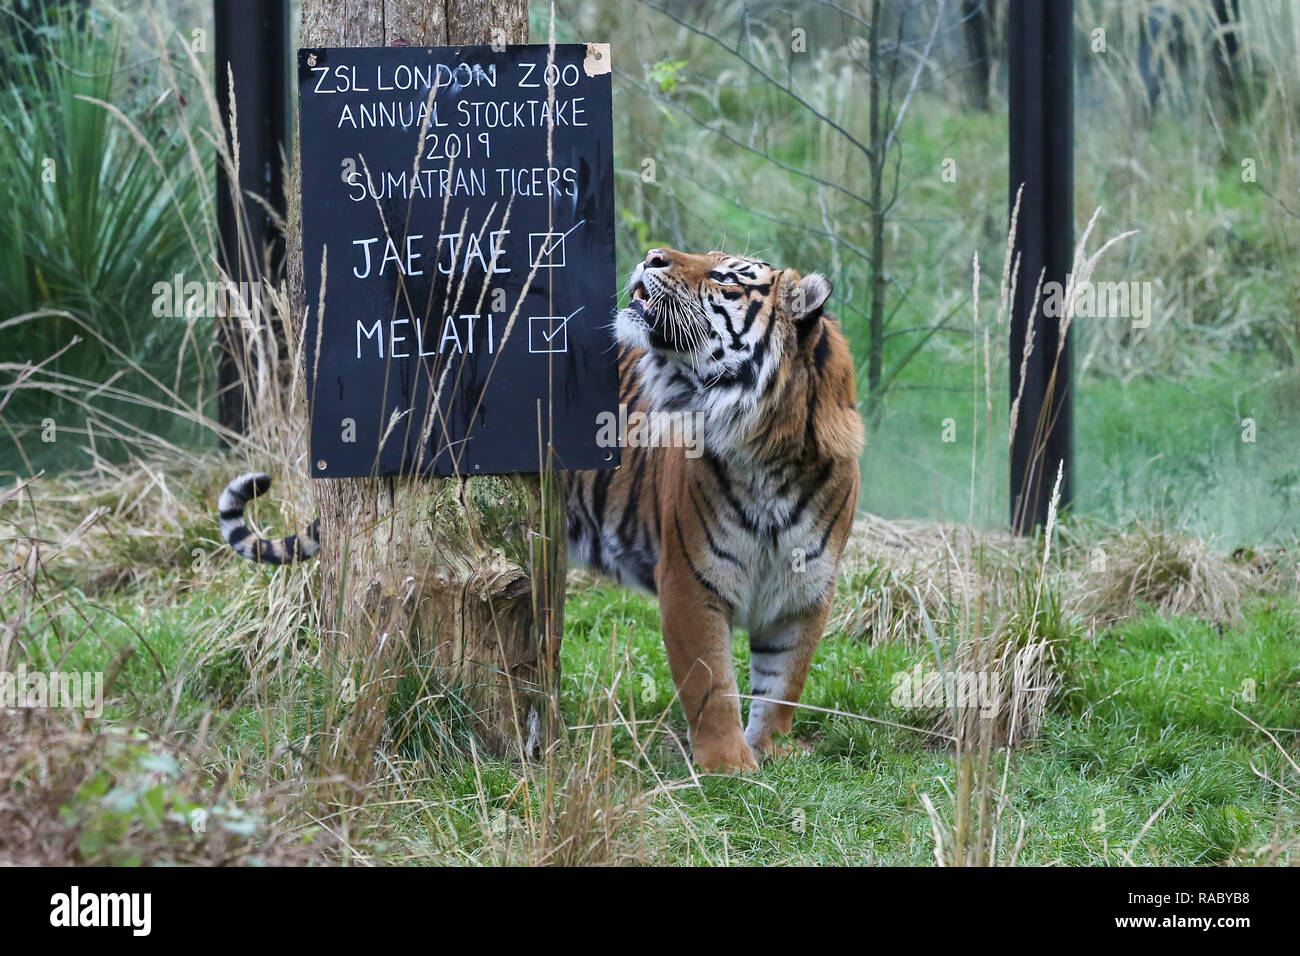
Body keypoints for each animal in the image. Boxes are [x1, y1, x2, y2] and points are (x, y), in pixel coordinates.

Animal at [213, 248, 863, 780]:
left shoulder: (806, 591)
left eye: (727, 277)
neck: (768, 450)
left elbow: (782, 684)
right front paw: (729, 765)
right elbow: (711, 685)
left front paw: (769, 751)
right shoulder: (692, 581)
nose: (652, 255)